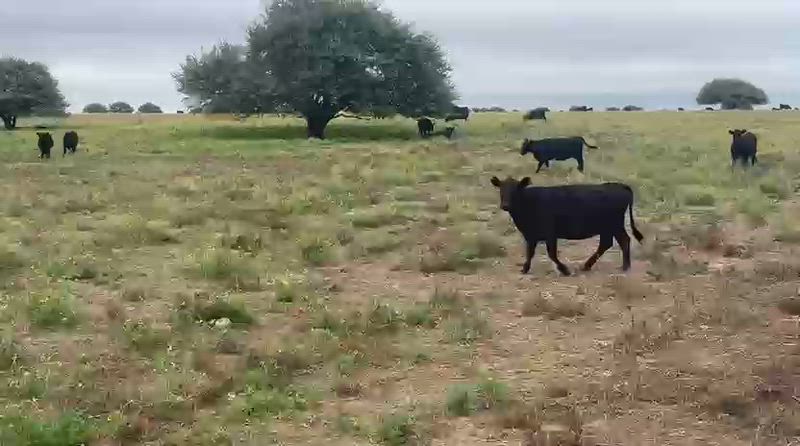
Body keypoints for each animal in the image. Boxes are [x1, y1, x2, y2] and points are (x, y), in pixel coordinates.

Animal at [490, 176, 644, 276]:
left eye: (516, 190)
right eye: (501, 189)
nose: (505, 205)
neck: (530, 201)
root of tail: (620, 185)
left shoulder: (550, 233)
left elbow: (551, 254)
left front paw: (565, 270)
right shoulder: (531, 235)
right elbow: (530, 252)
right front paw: (525, 269)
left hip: (613, 225)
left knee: (621, 241)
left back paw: (624, 267)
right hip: (609, 227)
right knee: (609, 243)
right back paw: (588, 266)